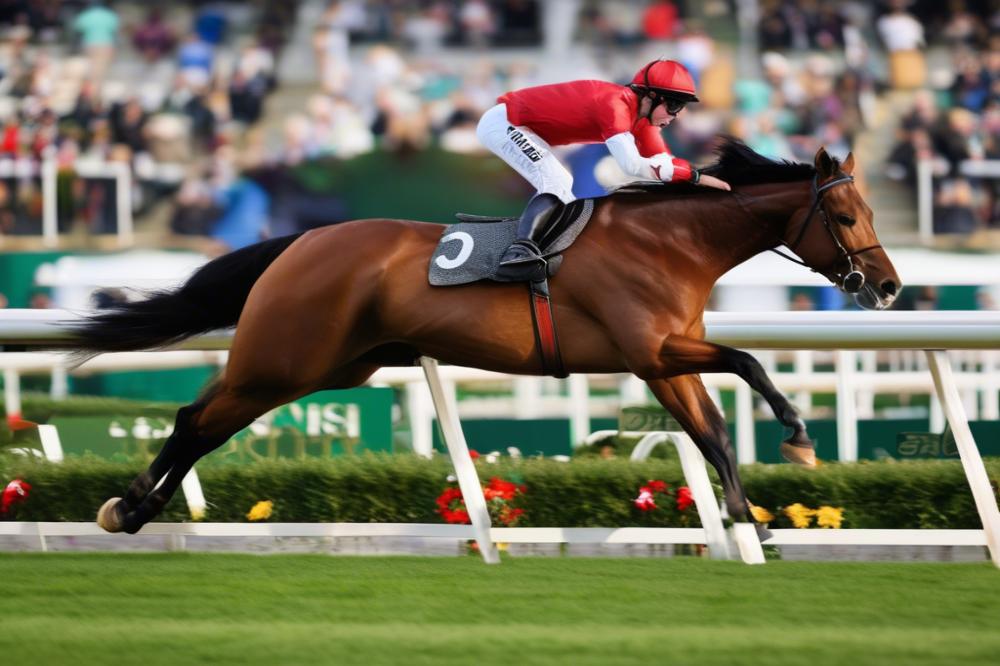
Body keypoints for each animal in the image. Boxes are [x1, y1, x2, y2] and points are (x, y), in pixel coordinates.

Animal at [77, 139, 900, 538]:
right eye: (847, 216)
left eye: (868, 212)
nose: (889, 287)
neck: (671, 243)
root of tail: (301, 241)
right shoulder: (650, 350)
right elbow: (750, 360)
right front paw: (797, 437)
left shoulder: (662, 362)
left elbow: (714, 431)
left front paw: (745, 516)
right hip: (284, 360)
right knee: (197, 421)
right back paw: (130, 508)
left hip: (328, 368)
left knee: (201, 421)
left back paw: (132, 508)